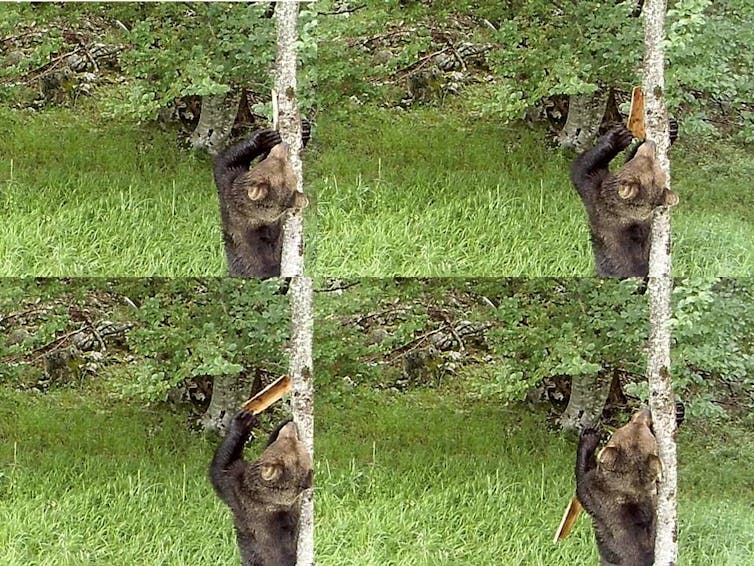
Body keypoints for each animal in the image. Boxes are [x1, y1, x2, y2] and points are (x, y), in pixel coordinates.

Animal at [576, 408, 680, 566]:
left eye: (632, 422)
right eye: (636, 421)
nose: (646, 411)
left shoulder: (592, 490)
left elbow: (582, 475)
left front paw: (589, 435)